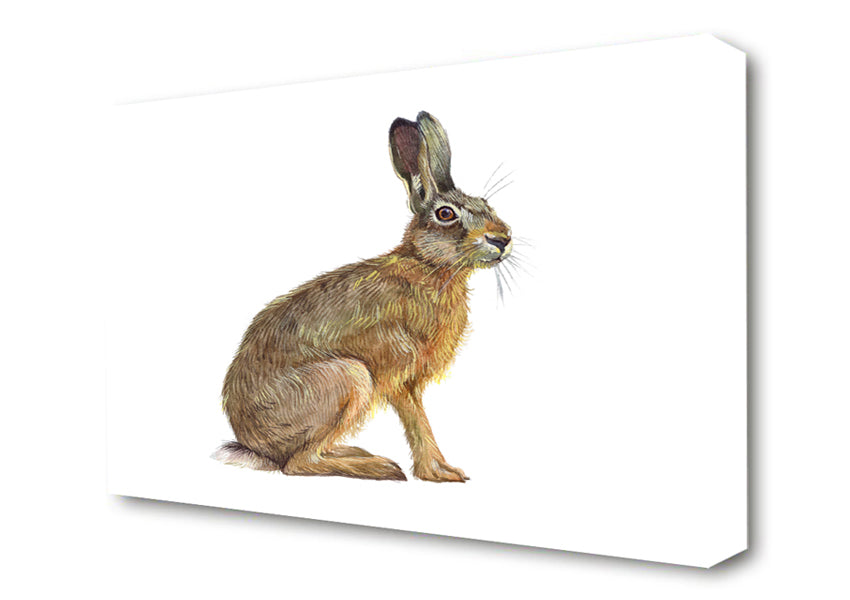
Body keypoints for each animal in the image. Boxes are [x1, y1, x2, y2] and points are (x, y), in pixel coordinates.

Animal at [213, 111, 512, 482]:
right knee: (297, 464)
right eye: (446, 214)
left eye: (487, 205)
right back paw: (377, 466)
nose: (502, 239)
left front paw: (444, 469)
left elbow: (420, 421)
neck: (427, 267)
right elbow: (417, 421)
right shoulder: (398, 372)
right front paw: (439, 474)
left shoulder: (410, 380)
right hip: (348, 379)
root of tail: (254, 445)